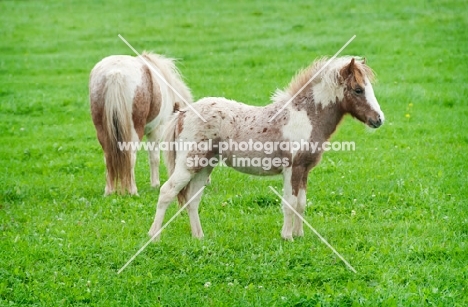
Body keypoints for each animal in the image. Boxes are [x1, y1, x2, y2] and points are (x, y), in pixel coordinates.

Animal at [88, 51, 191, 195]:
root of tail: (115, 73)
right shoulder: (157, 130)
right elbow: (154, 158)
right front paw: (155, 185)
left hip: (102, 130)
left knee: (108, 157)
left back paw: (109, 191)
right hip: (134, 130)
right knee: (130, 156)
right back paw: (132, 191)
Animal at [148, 56, 382, 242]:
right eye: (358, 90)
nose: (378, 120)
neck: (304, 117)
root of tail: (183, 113)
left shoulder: (304, 169)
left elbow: (301, 203)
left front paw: (299, 235)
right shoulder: (292, 168)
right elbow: (290, 203)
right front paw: (287, 237)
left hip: (204, 166)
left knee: (192, 199)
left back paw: (199, 236)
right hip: (188, 164)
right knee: (167, 192)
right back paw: (154, 236)